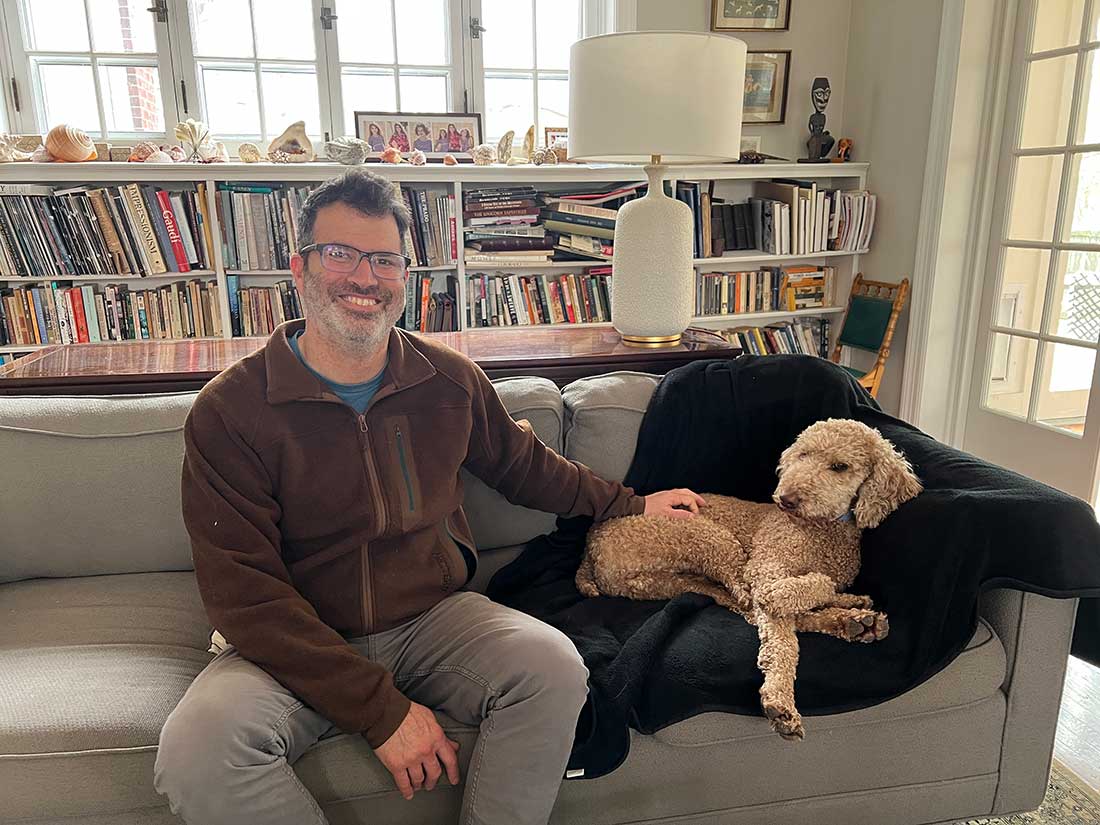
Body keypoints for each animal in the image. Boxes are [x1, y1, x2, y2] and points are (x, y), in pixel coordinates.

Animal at [580, 420, 924, 743]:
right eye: (803, 454)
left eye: (840, 466)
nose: (786, 499)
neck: (822, 530)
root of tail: (591, 543)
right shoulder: (765, 568)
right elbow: (785, 633)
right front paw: (780, 701)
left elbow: (805, 599)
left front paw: (846, 605)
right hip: (709, 537)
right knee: (751, 604)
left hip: (669, 580)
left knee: (738, 602)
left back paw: (856, 619)